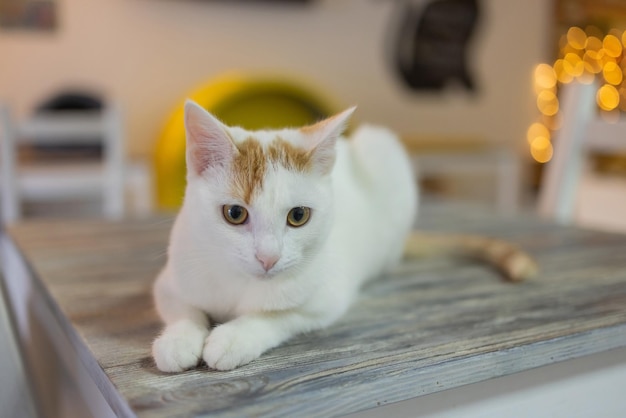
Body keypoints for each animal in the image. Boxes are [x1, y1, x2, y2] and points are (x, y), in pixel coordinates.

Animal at [149, 101, 532, 372]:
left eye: (298, 216)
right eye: (234, 214)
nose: (268, 258)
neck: (241, 283)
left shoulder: (327, 298)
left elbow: (278, 316)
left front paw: (234, 337)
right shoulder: (171, 277)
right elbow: (183, 308)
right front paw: (178, 340)